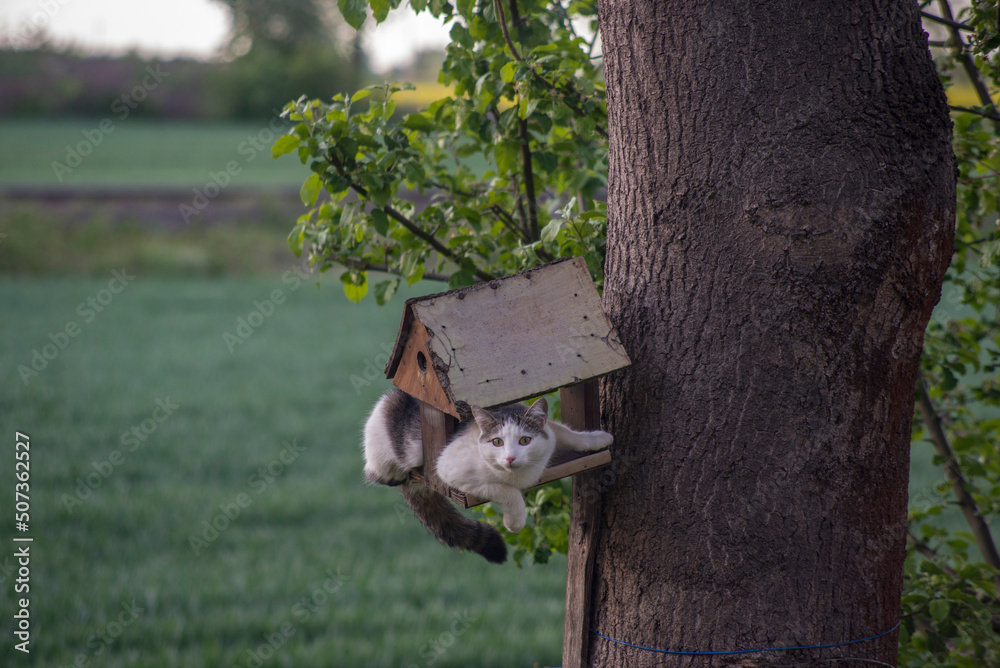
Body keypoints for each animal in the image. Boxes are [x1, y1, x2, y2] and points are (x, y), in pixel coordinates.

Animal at [364, 386, 612, 564]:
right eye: (497, 442)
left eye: (525, 440)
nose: (510, 458)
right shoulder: (451, 471)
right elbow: (506, 490)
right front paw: (515, 521)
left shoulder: (547, 431)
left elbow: (564, 432)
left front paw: (598, 438)